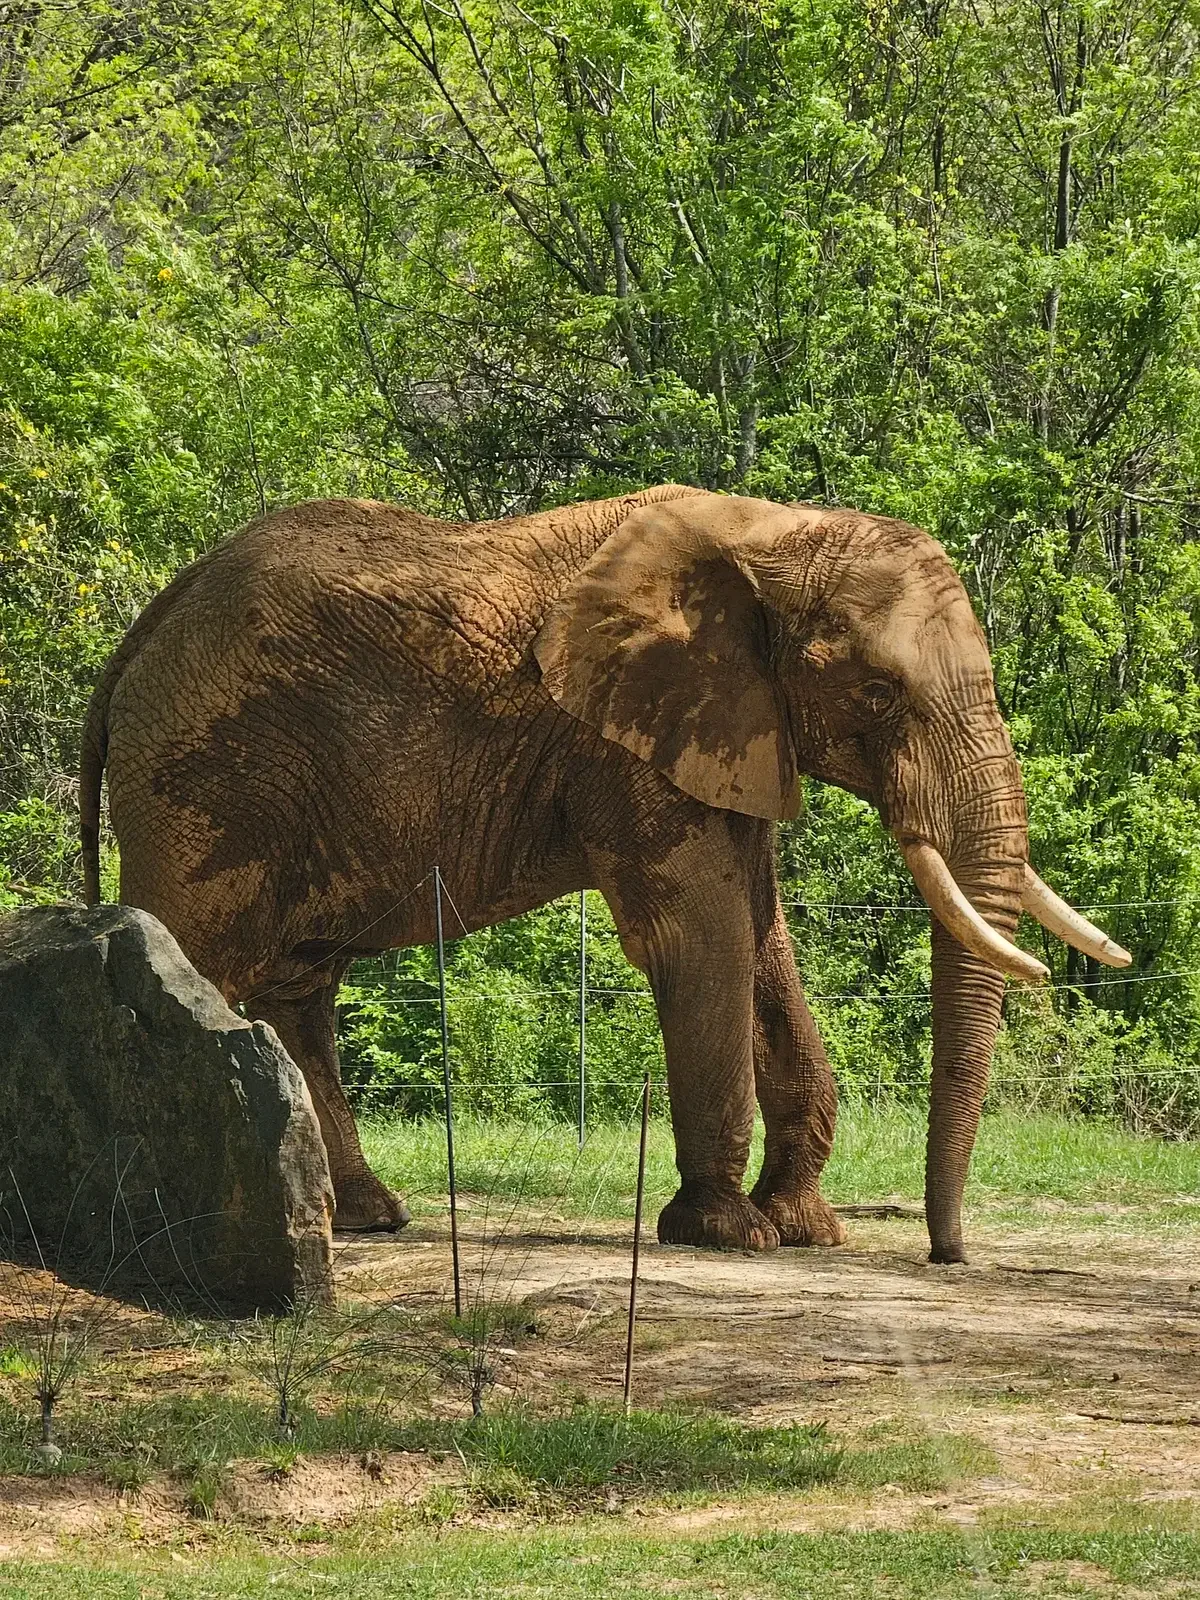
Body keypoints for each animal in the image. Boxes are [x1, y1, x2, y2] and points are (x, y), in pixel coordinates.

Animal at [79, 485, 1130, 1261]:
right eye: (878, 692)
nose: (949, 1253)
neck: (773, 534)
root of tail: (146, 627)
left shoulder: (723, 728)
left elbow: (761, 934)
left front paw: (805, 1228)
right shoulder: (619, 742)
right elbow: (698, 933)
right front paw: (728, 1234)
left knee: (298, 986)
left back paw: (366, 1215)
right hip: (208, 784)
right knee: (193, 958)